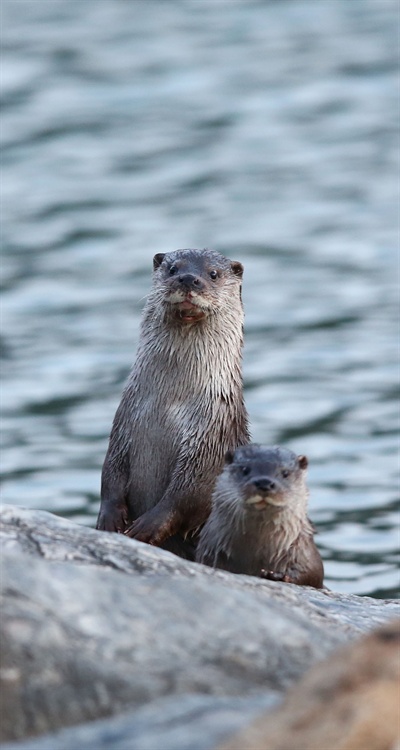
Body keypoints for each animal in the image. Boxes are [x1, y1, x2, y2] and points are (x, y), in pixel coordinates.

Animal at [95, 247, 248, 560]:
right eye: (173, 268)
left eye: (213, 274)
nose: (189, 279)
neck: (168, 406)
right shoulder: (123, 423)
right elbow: (110, 472)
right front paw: (109, 519)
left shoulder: (210, 440)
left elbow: (188, 493)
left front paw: (146, 527)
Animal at [197, 444, 324, 592]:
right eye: (245, 469)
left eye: (285, 473)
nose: (264, 482)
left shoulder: (305, 555)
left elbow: (310, 574)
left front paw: (277, 575)